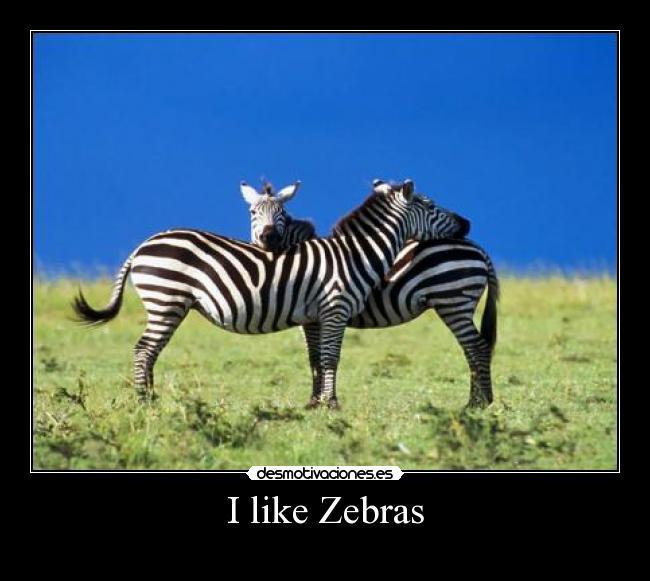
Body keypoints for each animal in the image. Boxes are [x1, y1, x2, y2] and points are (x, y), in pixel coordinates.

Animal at [72, 179, 469, 408]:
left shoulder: (315, 315)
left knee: (149, 351)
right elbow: (331, 359)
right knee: (143, 350)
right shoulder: (334, 309)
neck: (352, 254)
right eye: (431, 206)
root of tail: (142, 246)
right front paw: (332, 404)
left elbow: (317, 359)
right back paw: (144, 403)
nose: (467, 224)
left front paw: (318, 403)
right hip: (166, 299)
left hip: (169, 304)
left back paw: (150, 397)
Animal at [245, 181, 498, 408]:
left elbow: (319, 356)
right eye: (253, 213)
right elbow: (315, 357)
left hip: (453, 301)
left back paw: (477, 403)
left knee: (476, 347)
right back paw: (478, 400)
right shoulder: (315, 317)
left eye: (282, 213)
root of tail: (478, 248)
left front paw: (318, 401)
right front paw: (316, 400)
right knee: (472, 348)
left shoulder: (316, 317)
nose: (269, 239)